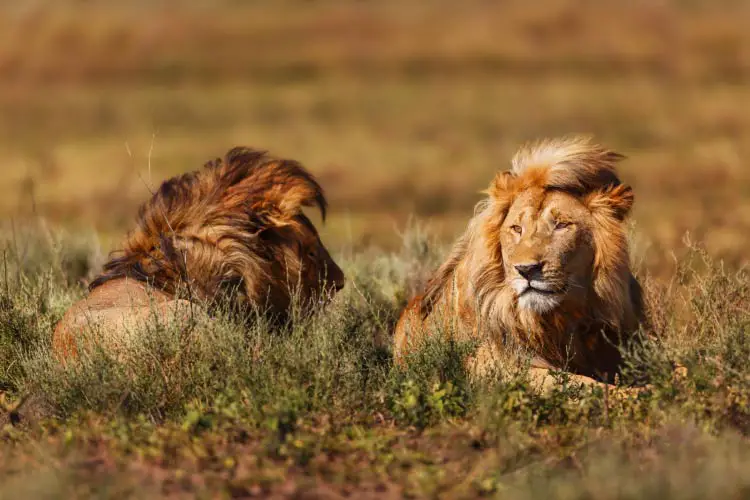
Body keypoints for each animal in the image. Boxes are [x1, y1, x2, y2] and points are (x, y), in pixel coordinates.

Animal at [396, 137, 648, 390]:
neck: (558, 322)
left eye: (562, 225)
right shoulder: (488, 363)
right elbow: (580, 383)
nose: (526, 270)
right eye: (516, 228)